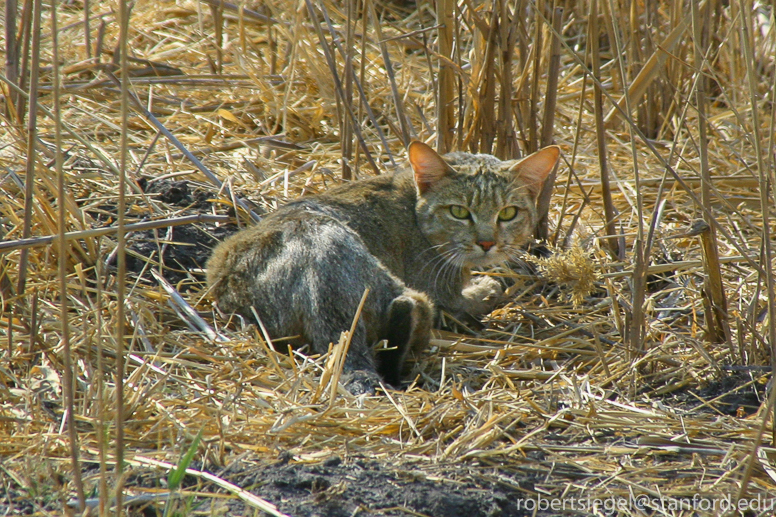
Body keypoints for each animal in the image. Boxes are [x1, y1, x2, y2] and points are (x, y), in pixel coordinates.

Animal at [206, 141, 556, 392]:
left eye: (508, 213)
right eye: (458, 211)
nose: (486, 242)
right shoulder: (446, 297)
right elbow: (471, 301)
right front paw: (488, 288)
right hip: (404, 292)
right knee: (412, 314)